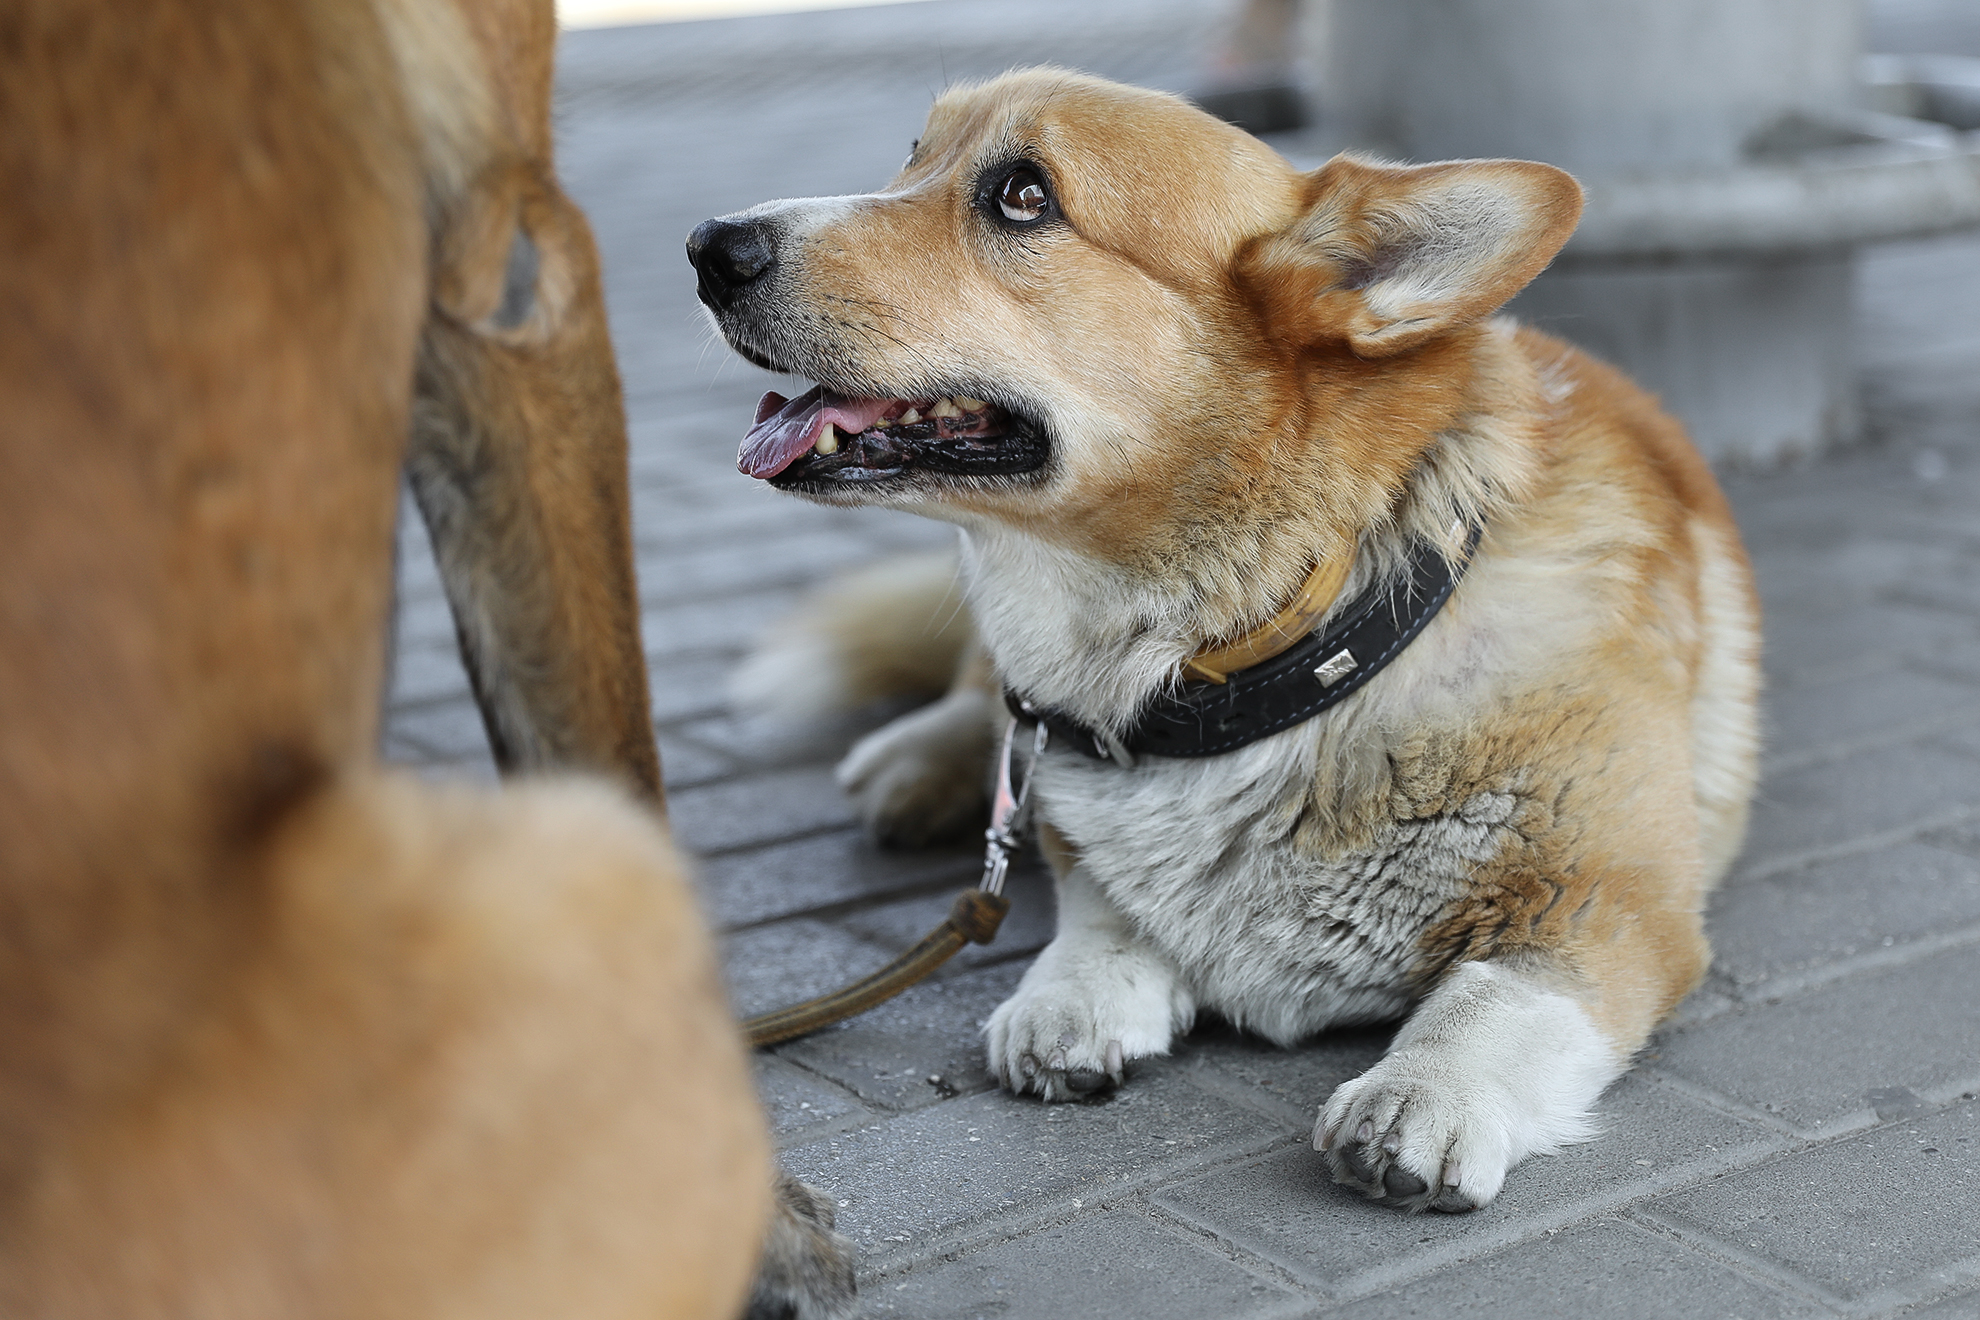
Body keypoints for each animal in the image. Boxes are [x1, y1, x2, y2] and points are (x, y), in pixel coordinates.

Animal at [689, 67, 1758, 1211]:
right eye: (913, 155)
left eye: (1023, 195)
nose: (709, 245)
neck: (1254, 664)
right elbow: (1098, 905)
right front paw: (1072, 996)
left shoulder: (1610, 902)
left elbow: (1496, 999)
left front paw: (1425, 1092)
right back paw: (917, 763)